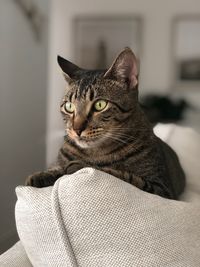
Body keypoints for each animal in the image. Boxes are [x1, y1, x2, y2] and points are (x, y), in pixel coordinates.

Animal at [25, 47, 185, 199]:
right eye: (69, 107)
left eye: (100, 105)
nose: (77, 129)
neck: (95, 153)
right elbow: (55, 167)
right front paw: (41, 175)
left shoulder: (160, 188)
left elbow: (117, 173)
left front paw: (79, 166)